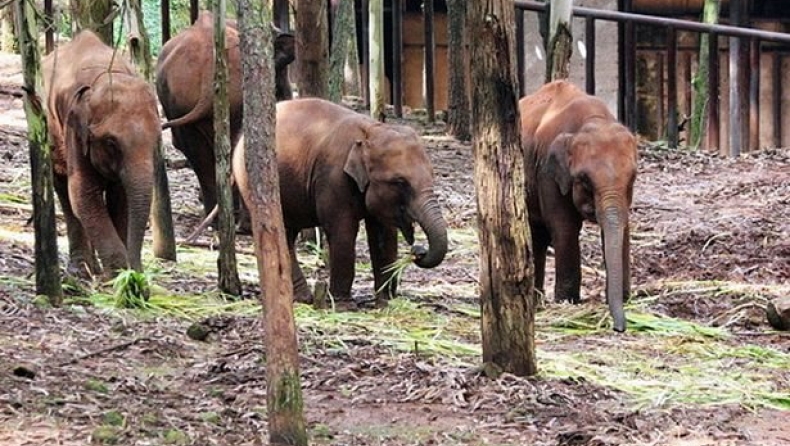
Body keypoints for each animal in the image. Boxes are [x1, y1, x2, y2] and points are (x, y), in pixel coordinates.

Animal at [43, 30, 162, 276]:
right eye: (111, 143)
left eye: (157, 140)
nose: (137, 270)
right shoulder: (73, 128)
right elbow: (83, 192)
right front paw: (120, 277)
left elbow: (121, 197)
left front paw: (126, 276)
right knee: (64, 188)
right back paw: (81, 270)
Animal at [232, 97, 448, 306]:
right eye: (400, 182)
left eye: (432, 175)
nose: (418, 251)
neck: (371, 131)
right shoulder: (333, 178)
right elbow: (342, 231)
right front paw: (344, 305)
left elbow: (383, 235)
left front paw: (385, 302)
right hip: (249, 180)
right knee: (282, 233)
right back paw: (303, 298)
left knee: (288, 234)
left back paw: (301, 297)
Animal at [524, 79, 640, 332]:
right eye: (584, 180)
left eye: (633, 177)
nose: (619, 328)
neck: (593, 120)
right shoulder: (548, 173)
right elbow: (564, 228)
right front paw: (567, 301)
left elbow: (623, 226)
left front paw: (624, 297)